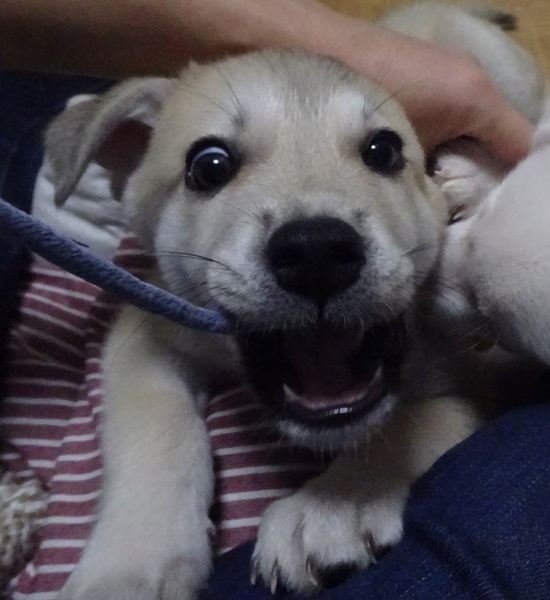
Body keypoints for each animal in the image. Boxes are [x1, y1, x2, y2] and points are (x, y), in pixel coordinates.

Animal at [43, 3, 545, 598]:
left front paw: (329, 507)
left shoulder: (480, 374)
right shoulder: (151, 323)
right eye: (208, 166)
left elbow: (413, 422)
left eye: (384, 151)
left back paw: (470, 173)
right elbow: (156, 428)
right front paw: (131, 563)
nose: (317, 252)